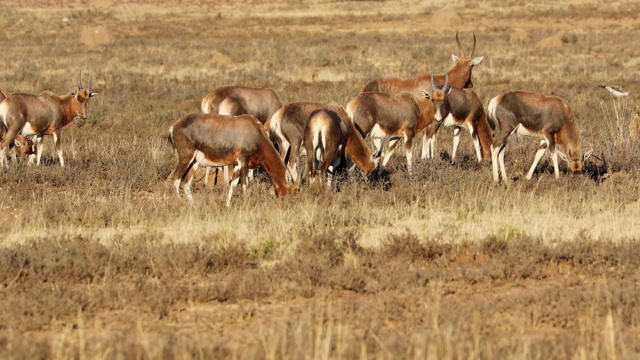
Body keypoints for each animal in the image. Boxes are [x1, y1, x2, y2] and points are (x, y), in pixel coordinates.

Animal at [166, 114, 294, 207]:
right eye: (287, 194)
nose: (285, 206)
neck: (254, 130)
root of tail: (173, 126)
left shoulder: (237, 164)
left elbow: (233, 183)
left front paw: (227, 205)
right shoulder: (243, 160)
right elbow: (244, 183)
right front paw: (245, 203)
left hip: (194, 162)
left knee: (186, 182)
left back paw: (193, 205)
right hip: (186, 158)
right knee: (176, 179)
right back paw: (179, 203)